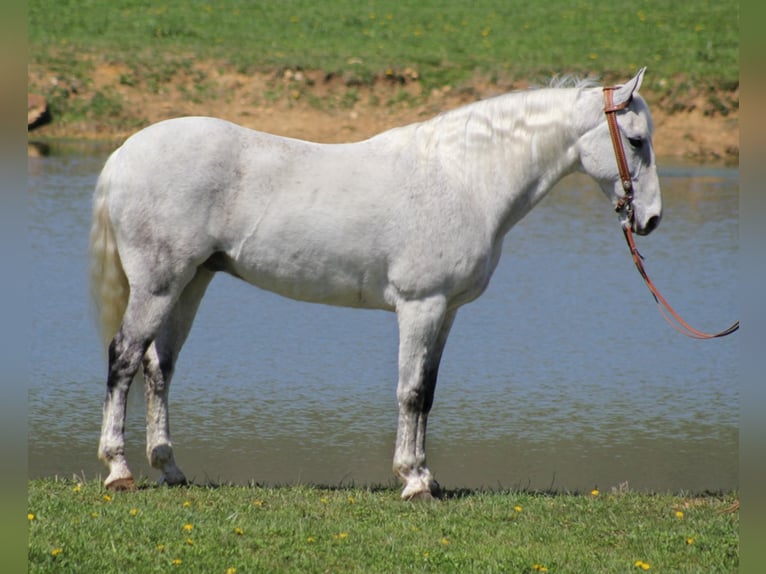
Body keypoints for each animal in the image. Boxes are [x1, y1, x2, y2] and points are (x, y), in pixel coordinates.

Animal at [90, 67, 664, 500]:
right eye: (636, 140)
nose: (652, 219)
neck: (462, 178)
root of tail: (123, 155)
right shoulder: (420, 305)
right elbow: (409, 392)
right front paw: (412, 481)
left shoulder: (446, 311)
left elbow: (427, 393)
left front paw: (427, 477)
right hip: (159, 285)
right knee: (124, 358)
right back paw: (118, 470)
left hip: (190, 284)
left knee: (159, 367)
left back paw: (169, 468)